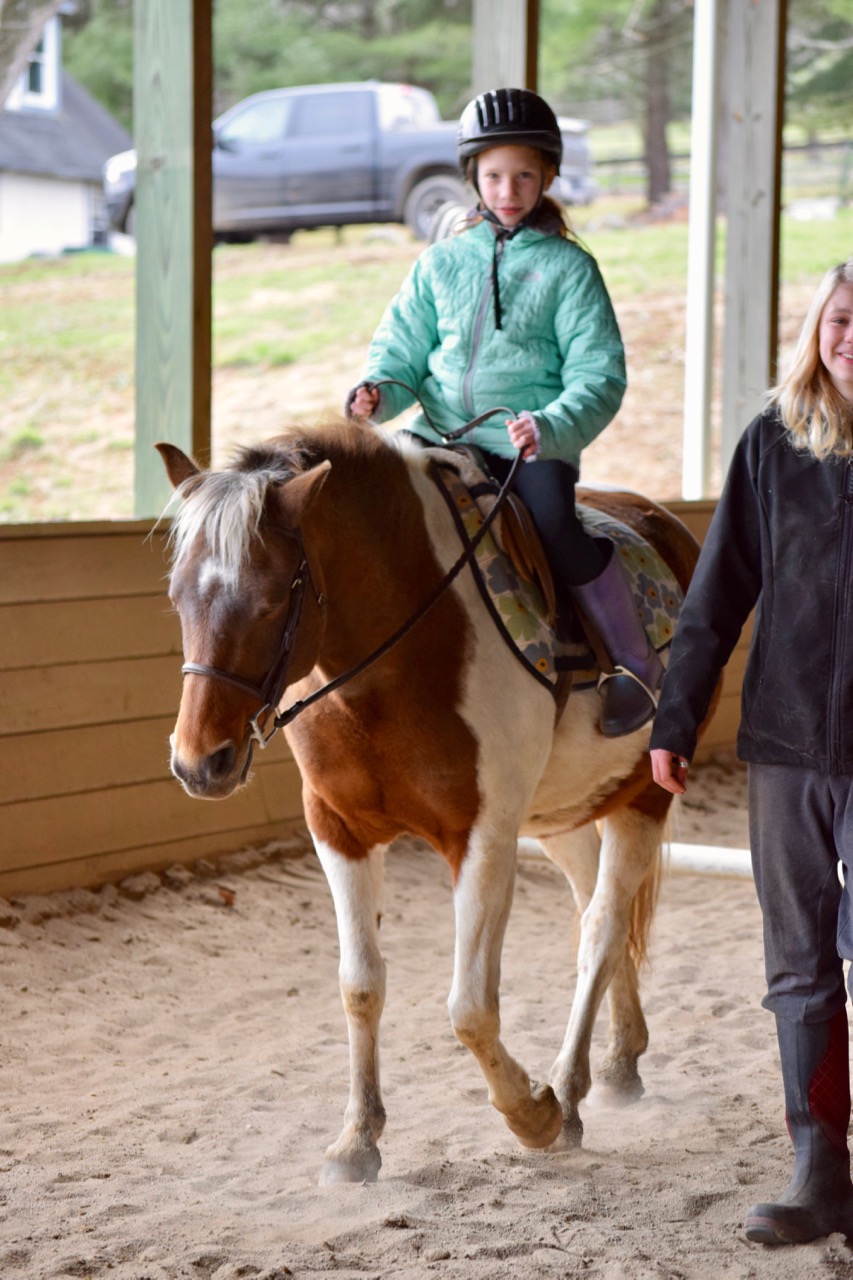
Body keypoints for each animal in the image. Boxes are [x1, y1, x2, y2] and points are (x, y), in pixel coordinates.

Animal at [157, 419, 711, 1185]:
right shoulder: (338, 831)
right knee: (597, 911)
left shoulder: (481, 837)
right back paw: (618, 1063)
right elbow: (360, 985)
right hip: (561, 814)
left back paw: (568, 1090)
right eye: (178, 597)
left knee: (602, 927)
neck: (403, 653)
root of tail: (663, 522)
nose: (198, 762)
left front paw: (530, 1114)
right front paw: (357, 1140)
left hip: (644, 794)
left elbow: (469, 1008)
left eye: (270, 601)